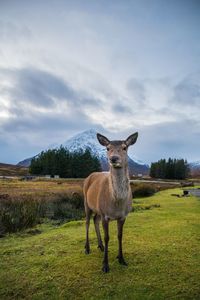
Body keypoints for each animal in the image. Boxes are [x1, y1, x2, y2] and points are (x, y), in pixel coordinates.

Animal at [83, 131, 138, 272]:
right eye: (108, 148)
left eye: (125, 147)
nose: (113, 158)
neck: (117, 203)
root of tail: (89, 176)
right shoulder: (105, 215)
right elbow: (108, 237)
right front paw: (105, 265)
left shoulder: (123, 216)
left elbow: (120, 235)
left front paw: (121, 258)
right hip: (87, 203)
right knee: (87, 222)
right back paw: (87, 248)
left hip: (97, 209)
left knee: (95, 220)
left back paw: (100, 246)